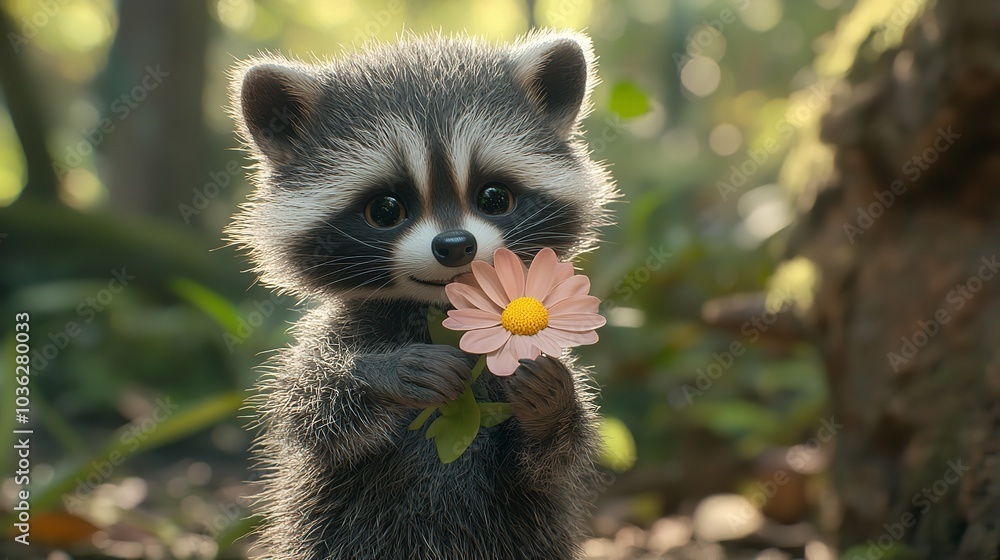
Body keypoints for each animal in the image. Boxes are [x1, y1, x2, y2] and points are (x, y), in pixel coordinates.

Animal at [227, 30, 616, 559]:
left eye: (494, 198)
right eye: (385, 209)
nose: (455, 246)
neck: (442, 308)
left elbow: (555, 457)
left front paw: (552, 401)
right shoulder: (334, 342)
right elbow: (309, 407)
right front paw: (385, 374)